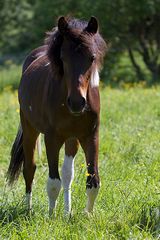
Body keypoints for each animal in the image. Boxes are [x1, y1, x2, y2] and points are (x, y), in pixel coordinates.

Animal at [7, 16, 107, 216]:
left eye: (92, 57)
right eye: (63, 58)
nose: (77, 102)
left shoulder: (90, 136)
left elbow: (92, 182)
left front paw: (87, 216)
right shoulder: (51, 138)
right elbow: (53, 183)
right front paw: (51, 217)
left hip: (71, 138)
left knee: (68, 174)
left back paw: (67, 213)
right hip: (29, 129)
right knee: (29, 168)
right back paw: (28, 209)